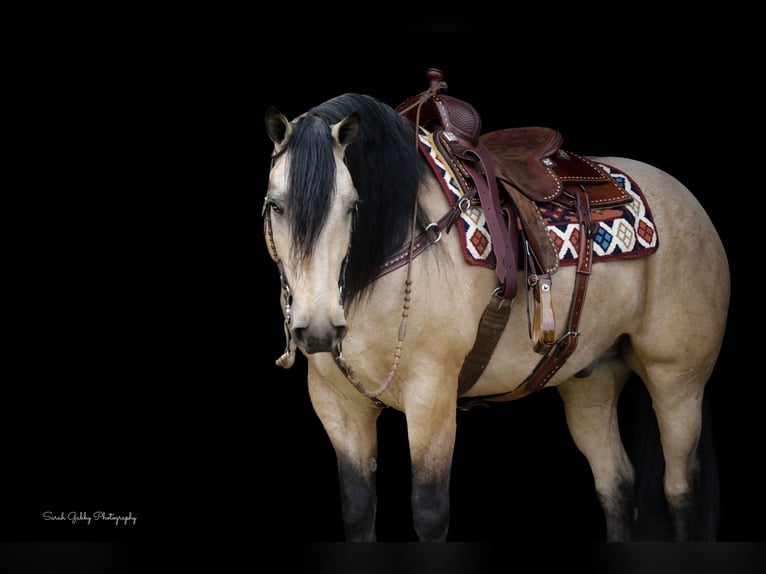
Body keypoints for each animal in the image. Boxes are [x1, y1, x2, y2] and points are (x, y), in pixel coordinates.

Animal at [262, 70, 732, 544]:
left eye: (353, 206)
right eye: (275, 206)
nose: (318, 328)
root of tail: (689, 201)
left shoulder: (432, 393)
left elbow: (429, 513)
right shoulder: (336, 404)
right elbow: (359, 509)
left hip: (677, 382)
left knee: (680, 492)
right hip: (590, 380)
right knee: (616, 487)